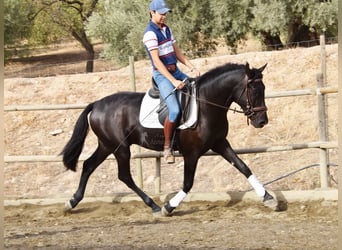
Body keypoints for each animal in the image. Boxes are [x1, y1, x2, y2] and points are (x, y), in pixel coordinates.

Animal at [62, 62, 280, 215]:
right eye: (254, 90)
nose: (262, 121)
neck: (206, 104)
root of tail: (97, 104)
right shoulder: (191, 153)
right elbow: (188, 183)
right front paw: (169, 207)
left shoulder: (220, 143)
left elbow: (244, 167)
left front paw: (269, 197)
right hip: (121, 148)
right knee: (124, 176)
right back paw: (154, 206)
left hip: (107, 146)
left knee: (89, 165)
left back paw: (72, 201)